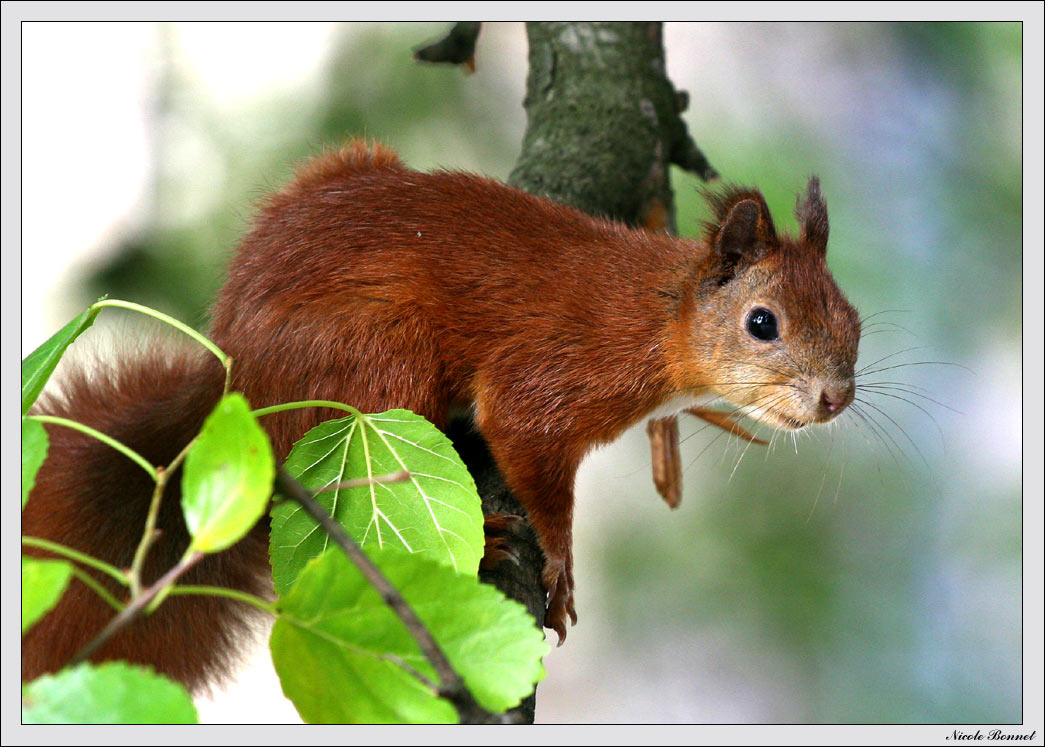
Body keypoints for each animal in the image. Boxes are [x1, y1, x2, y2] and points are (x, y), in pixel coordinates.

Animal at [22, 140, 860, 692]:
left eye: (851, 319)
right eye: (761, 323)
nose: (835, 398)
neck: (661, 314)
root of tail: (234, 375)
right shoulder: (551, 378)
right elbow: (525, 446)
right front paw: (559, 567)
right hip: (381, 356)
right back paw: (486, 530)